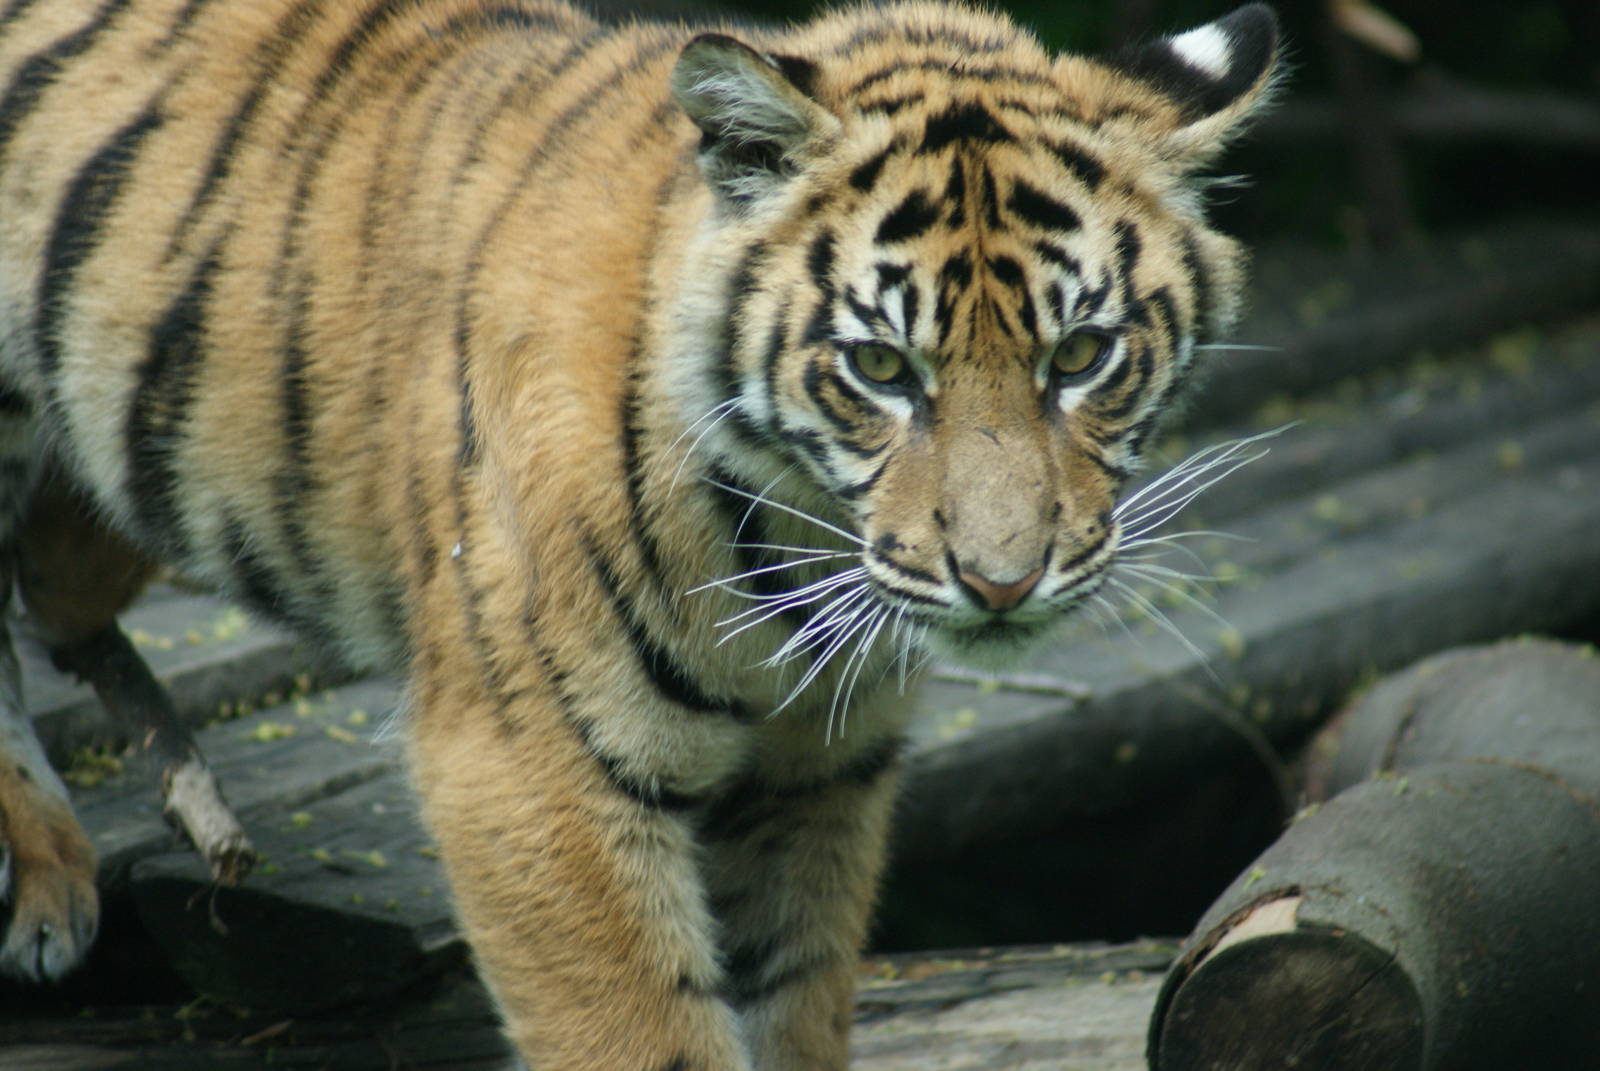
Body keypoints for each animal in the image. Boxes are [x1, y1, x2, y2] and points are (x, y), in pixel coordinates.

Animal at [0, 0, 1280, 1066]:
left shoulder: (817, 775)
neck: (791, 553)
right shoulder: (533, 773)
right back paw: (42, 883)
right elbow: (647, 1034)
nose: (1004, 584)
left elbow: (793, 1006)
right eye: (879, 368)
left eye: (1082, 356)